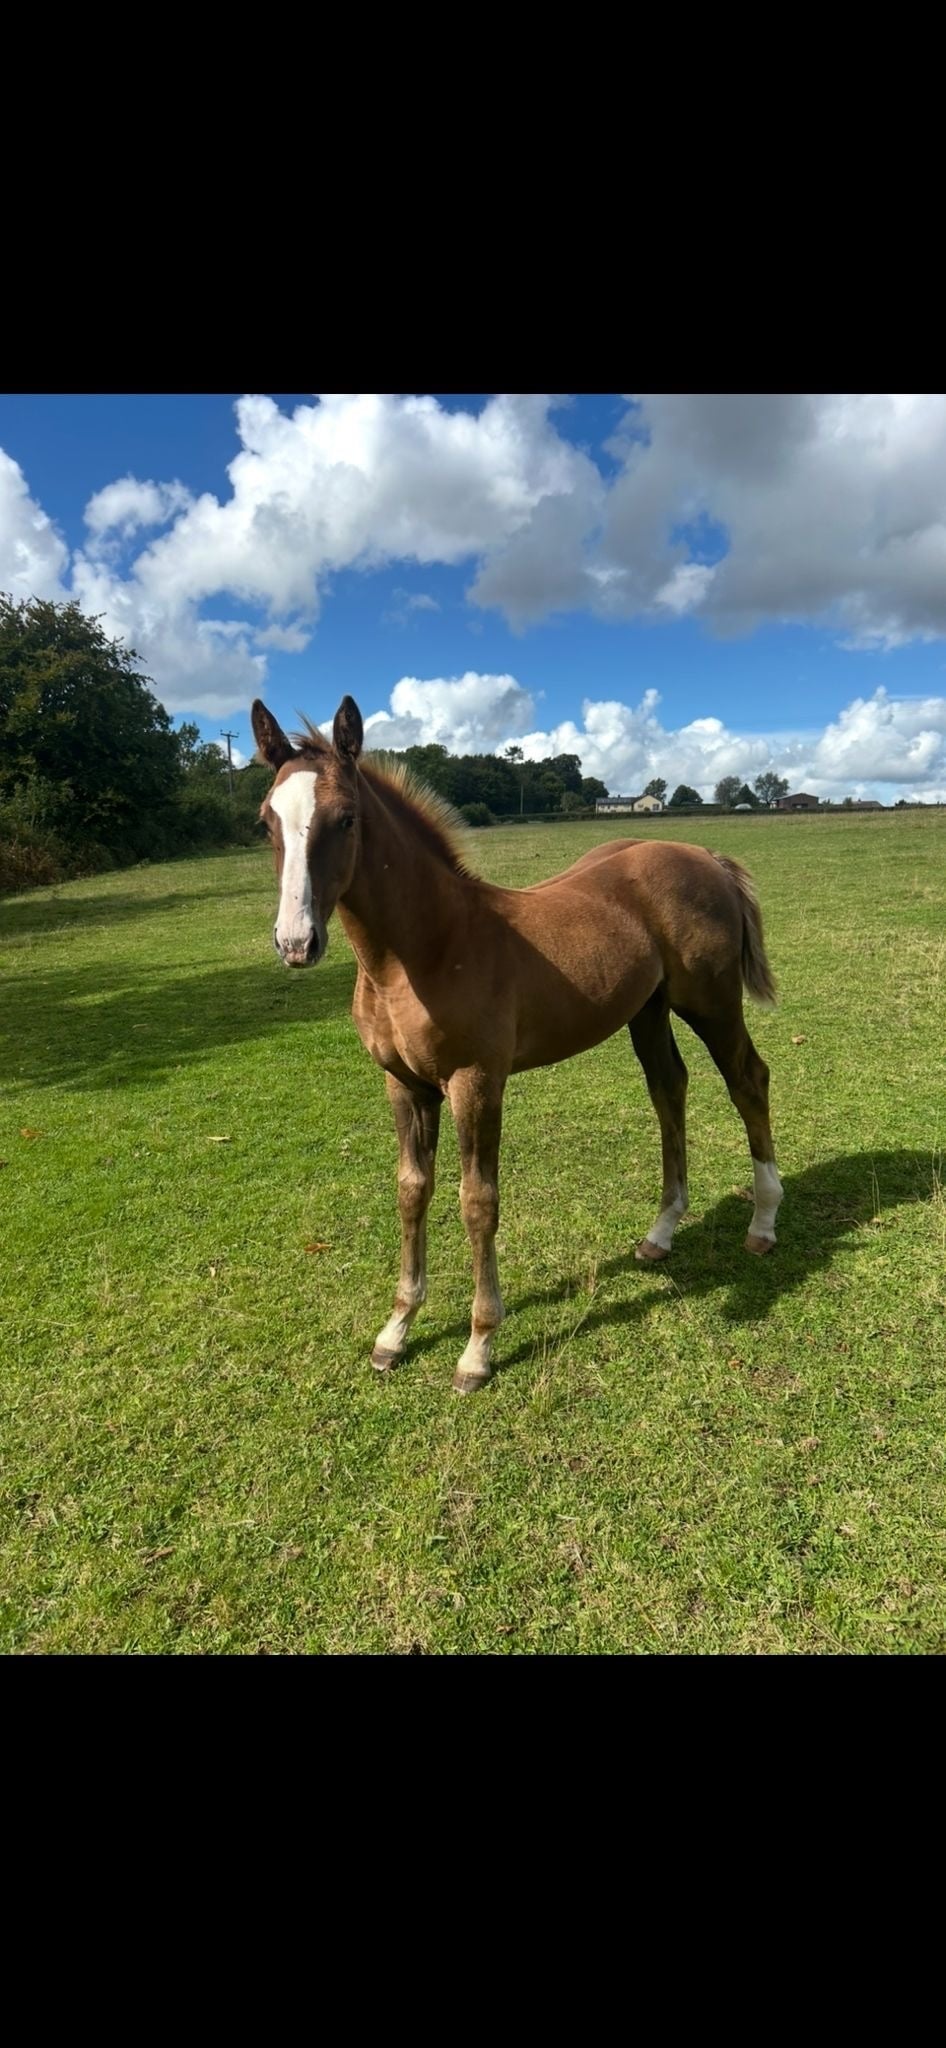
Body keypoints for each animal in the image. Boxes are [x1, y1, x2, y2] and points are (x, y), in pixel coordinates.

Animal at [252, 694, 783, 1394]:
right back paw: (661, 1232)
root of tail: (703, 854)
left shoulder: (476, 1081)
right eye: (265, 822)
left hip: (712, 1003)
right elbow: (411, 1190)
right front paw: (396, 1331)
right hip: (648, 1011)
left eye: (346, 818)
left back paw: (763, 1222)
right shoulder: (404, 1084)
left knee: (748, 1079)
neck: (427, 947)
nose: (296, 943)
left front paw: (478, 1347)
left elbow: (477, 1201)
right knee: (669, 1088)